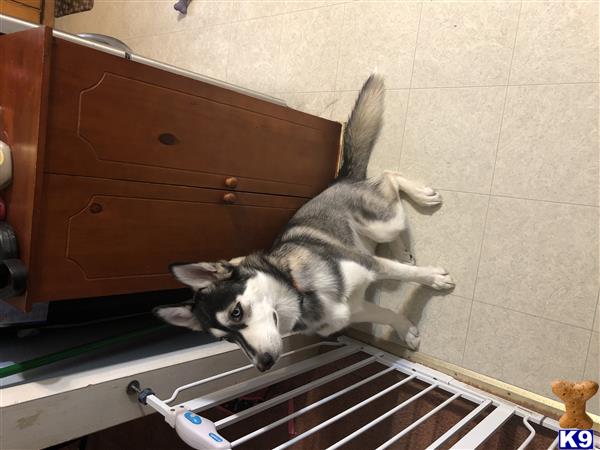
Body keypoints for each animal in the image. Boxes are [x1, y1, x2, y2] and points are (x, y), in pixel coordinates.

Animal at [155, 74, 454, 372]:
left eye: (236, 312)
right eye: (226, 339)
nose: (263, 365)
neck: (299, 290)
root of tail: (339, 179)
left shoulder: (367, 264)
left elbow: (407, 275)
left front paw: (434, 279)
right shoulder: (353, 310)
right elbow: (385, 313)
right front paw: (406, 330)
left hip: (381, 224)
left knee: (390, 178)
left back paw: (422, 197)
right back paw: (403, 251)